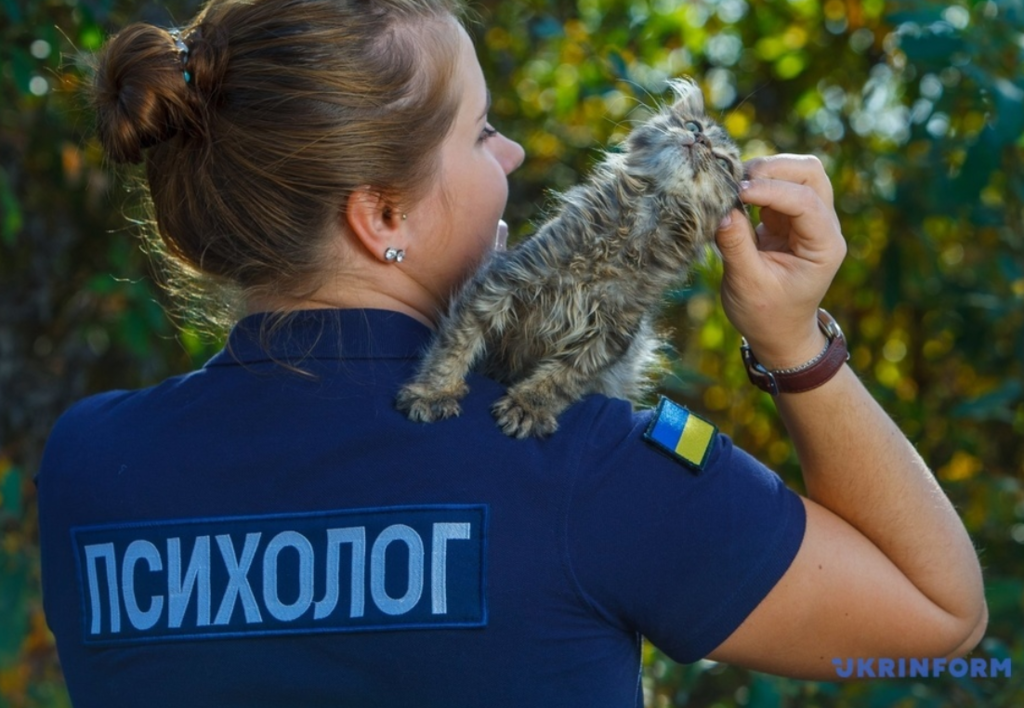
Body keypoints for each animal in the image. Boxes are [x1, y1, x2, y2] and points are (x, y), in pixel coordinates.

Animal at [395, 78, 741, 438]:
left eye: (723, 163)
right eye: (693, 126)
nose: (700, 140)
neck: (634, 231)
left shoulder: (608, 337)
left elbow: (559, 380)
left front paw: (527, 407)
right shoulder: (502, 281)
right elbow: (455, 344)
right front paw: (434, 391)